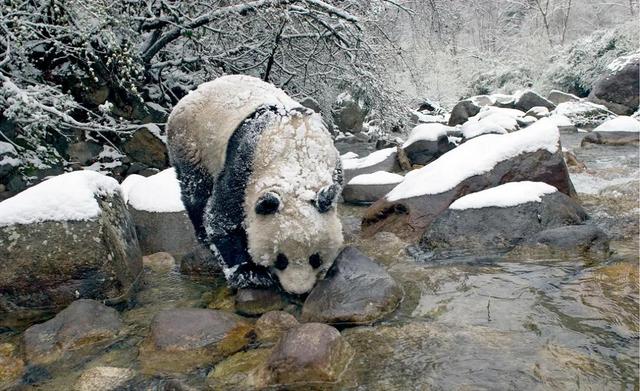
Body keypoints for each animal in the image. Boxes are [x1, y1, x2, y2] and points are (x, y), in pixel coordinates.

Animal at [168, 75, 342, 294]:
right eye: (281, 260)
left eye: (315, 258)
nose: (298, 291)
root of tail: (193, 93)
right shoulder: (245, 163)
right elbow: (221, 217)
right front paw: (251, 274)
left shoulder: (334, 166)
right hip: (190, 141)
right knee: (195, 191)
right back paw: (203, 235)